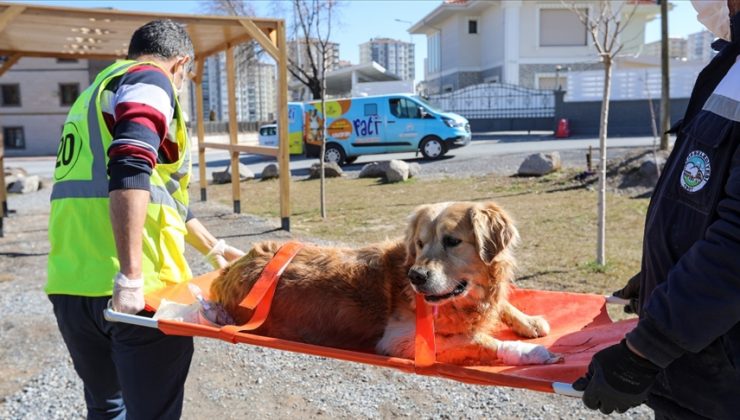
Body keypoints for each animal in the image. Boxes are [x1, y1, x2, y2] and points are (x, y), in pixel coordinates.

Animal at [212, 202, 560, 366]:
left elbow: (501, 305)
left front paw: (528, 321)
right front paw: (528, 352)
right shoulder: (398, 340)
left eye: (452, 241)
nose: (416, 277)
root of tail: (233, 266)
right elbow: (472, 339)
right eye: (419, 243)